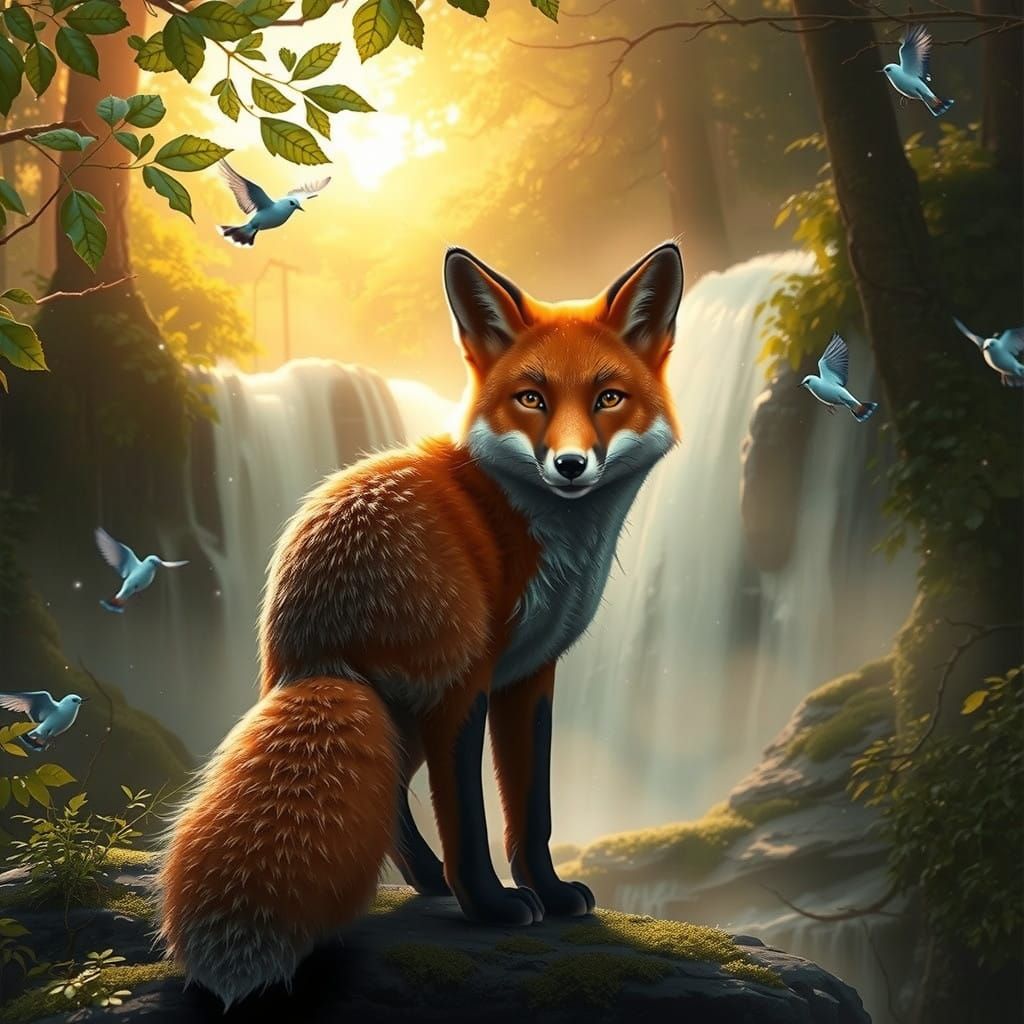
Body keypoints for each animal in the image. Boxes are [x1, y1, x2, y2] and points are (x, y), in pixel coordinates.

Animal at [157, 241, 685, 1006]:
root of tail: (310, 646)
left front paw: (552, 893)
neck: (540, 533)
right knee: (430, 808)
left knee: (392, 805)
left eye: (607, 398)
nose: (570, 464)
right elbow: (476, 818)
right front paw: (500, 907)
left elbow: (534, 811)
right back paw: (461, 894)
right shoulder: (479, 682)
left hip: (401, 718)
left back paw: (428, 882)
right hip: (438, 692)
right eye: (532, 398)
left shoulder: (530, 676)